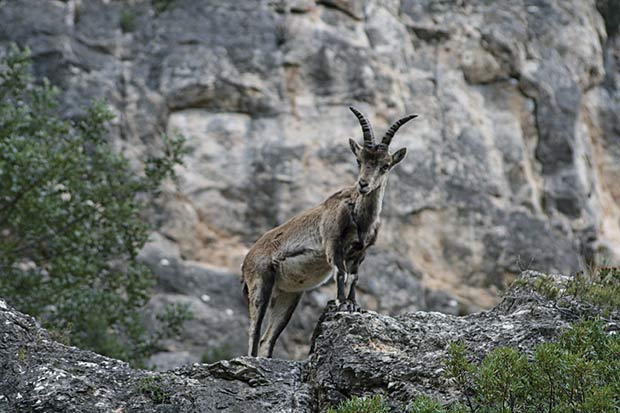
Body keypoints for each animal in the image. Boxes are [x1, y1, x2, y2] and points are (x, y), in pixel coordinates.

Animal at [242, 108, 416, 356]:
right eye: (359, 160)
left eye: (385, 165)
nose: (363, 184)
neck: (359, 218)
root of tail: (247, 259)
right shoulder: (333, 244)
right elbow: (341, 273)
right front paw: (342, 304)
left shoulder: (360, 253)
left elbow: (354, 277)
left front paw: (354, 305)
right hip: (260, 283)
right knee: (253, 334)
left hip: (288, 295)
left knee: (267, 339)